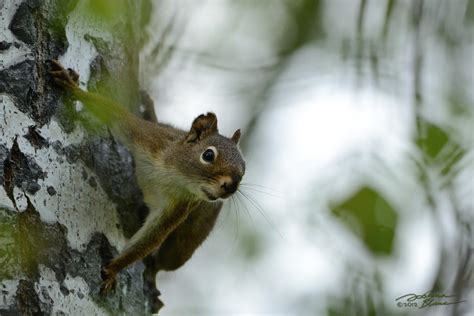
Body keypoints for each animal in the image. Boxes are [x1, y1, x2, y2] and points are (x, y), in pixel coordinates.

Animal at [49, 59, 246, 304]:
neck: (173, 176)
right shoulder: (148, 137)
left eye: (244, 171)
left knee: (167, 260)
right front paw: (74, 88)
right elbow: (111, 111)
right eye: (208, 155)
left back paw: (153, 278)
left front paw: (114, 269)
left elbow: (151, 238)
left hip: (187, 240)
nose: (231, 187)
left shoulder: (179, 207)